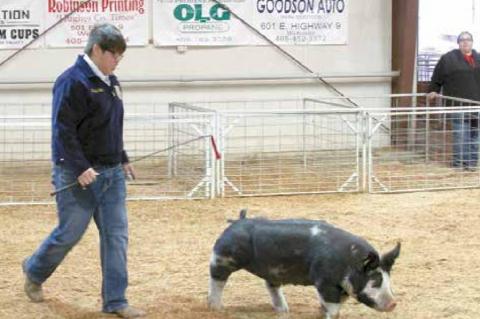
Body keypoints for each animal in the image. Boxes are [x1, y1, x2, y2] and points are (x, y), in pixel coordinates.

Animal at [208, 210, 400, 319]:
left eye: (388, 279)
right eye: (375, 281)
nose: (393, 304)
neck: (349, 262)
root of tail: (237, 221)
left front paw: (321, 313)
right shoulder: (324, 282)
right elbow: (334, 310)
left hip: (270, 271)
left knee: (272, 286)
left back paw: (284, 311)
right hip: (222, 258)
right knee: (217, 280)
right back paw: (217, 309)